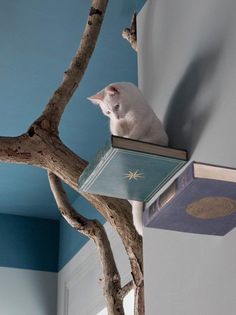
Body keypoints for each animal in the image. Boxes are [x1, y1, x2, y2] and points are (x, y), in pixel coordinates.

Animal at [88, 82, 168, 236]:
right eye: (107, 112)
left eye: (116, 106)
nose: (117, 116)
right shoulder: (115, 125)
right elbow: (117, 132)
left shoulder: (141, 121)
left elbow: (133, 135)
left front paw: (129, 139)